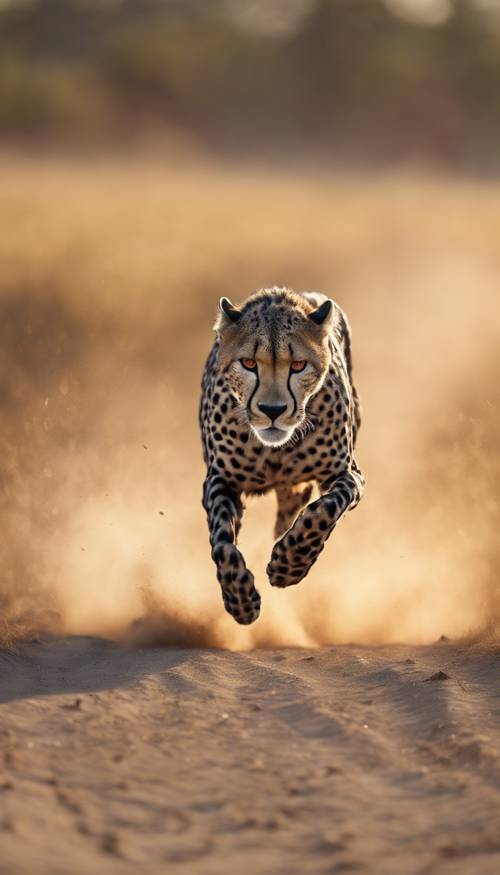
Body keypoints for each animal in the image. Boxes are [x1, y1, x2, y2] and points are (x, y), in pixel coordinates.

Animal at [199, 290, 364, 628]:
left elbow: (325, 510)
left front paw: (288, 566)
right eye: (248, 363)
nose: (272, 410)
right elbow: (222, 543)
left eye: (298, 365)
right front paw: (240, 600)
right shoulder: (220, 480)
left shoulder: (347, 474)